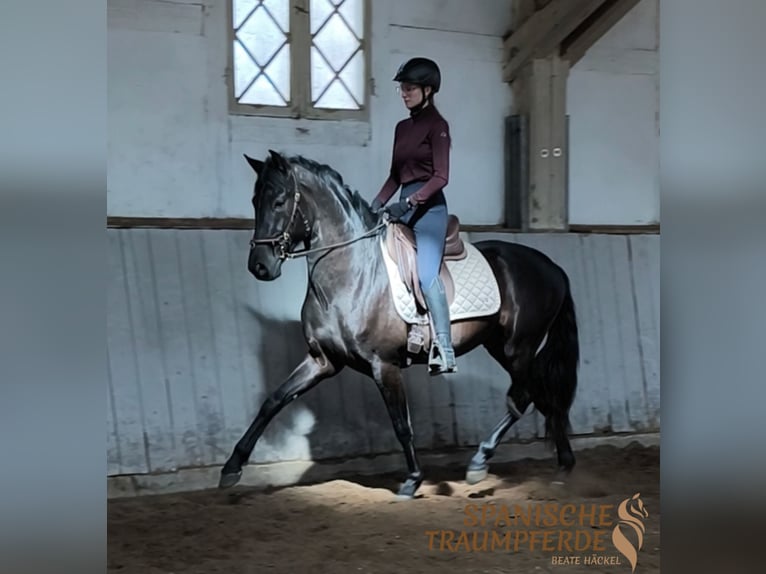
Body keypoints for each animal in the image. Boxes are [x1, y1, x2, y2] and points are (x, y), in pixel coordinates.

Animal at [218, 149, 580, 499]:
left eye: (279, 201)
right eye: (255, 201)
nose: (259, 266)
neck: (352, 274)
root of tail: (552, 268)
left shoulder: (384, 365)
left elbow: (401, 424)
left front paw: (413, 480)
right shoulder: (323, 360)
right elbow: (273, 401)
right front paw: (231, 468)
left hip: (518, 347)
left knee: (524, 394)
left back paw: (481, 462)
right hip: (500, 347)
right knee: (539, 395)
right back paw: (563, 464)